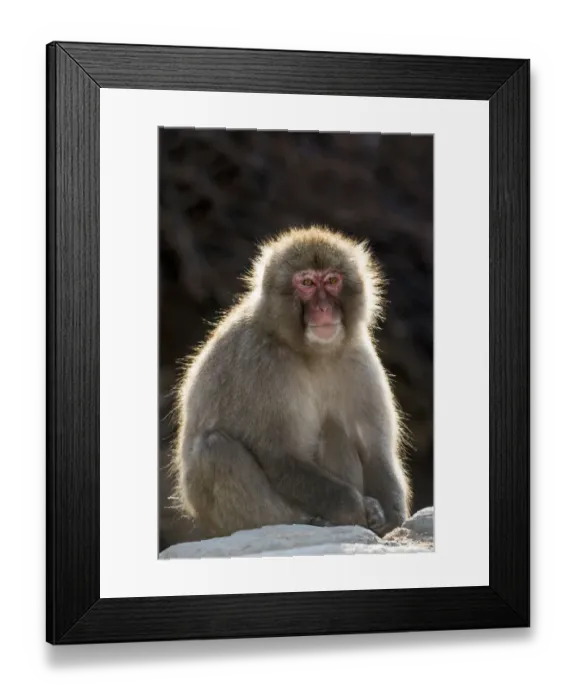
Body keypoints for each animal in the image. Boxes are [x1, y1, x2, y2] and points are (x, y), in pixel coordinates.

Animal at [170, 225, 412, 541]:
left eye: (332, 281)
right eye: (306, 283)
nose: (323, 308)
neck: (311, 352)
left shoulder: (357, 357)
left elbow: (375, 449)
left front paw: (391, 515)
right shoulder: (262, 362)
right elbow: (280, 456)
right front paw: (356, 507)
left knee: (334, 429)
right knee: (214, 450)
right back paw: (312, 521)